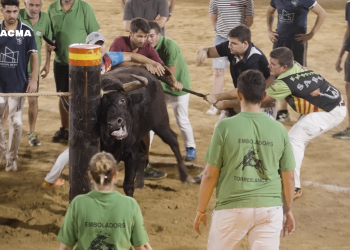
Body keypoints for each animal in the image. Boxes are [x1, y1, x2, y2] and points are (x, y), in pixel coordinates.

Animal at [98, 65, 191, 197]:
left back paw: (184, 177)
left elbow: (128, 185)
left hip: (160, 122)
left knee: (172, 139)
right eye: (101, 104)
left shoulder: (131, 153)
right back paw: (140, 183)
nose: (115, 122)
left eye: (122, 100)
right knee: (143, 153)